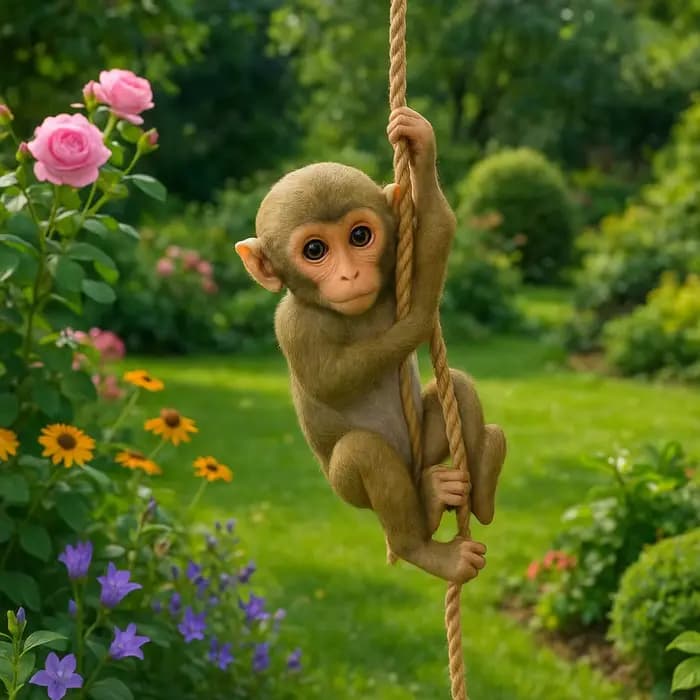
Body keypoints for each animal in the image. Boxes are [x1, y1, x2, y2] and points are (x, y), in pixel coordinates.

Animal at [235, 107, 506, 584]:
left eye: (360, 237)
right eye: (315, 249)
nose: (350, 274)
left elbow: (436, 231)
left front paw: (420, 147)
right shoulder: (291, 324)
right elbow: (330, 381)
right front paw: (419, 318)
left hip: (426, 448)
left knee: (457, 385)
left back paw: (477, 479)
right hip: (348, 490)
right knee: (364, 454)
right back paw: (425, 543)